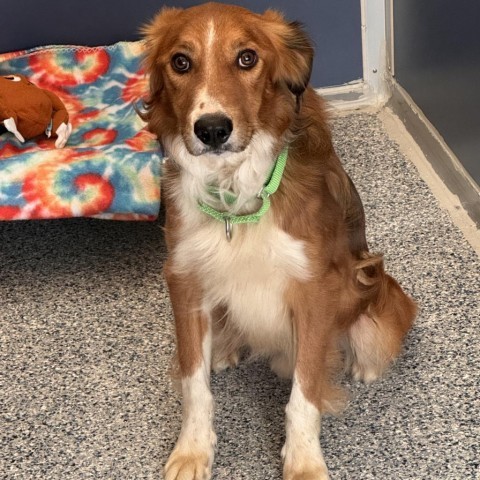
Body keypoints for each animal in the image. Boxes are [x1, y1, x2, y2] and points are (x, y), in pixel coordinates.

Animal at [140, 1, 416, 478]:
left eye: (247, 57)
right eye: (180, 62)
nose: (212, 129)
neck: (235, 193)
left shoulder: (315, 287)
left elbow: (303, 395)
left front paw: (303, 461)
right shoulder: (184, 277)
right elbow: (195, 384)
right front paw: (192, 450)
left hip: (377, 289)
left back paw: (363, 365)